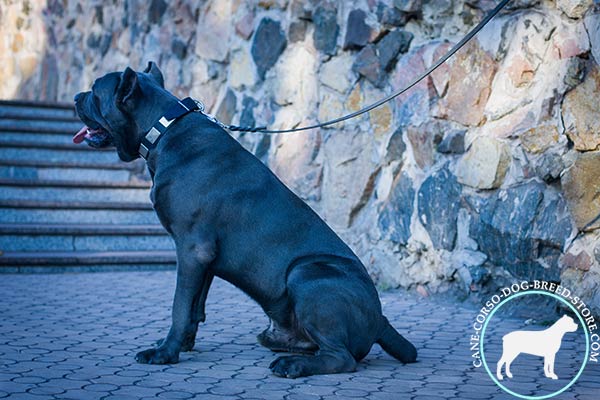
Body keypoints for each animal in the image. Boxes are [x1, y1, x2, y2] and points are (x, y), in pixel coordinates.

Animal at [72, 62, 418, 378]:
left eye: (95, 91)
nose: (76, 96)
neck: (164, 130)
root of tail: (381, 321)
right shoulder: (205, 260)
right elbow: (195, 307)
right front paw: (182, 345)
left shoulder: (191, 249)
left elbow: (179, 306)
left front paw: (165, 353)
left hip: (306, 273)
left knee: (341, 358)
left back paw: (292, 365)